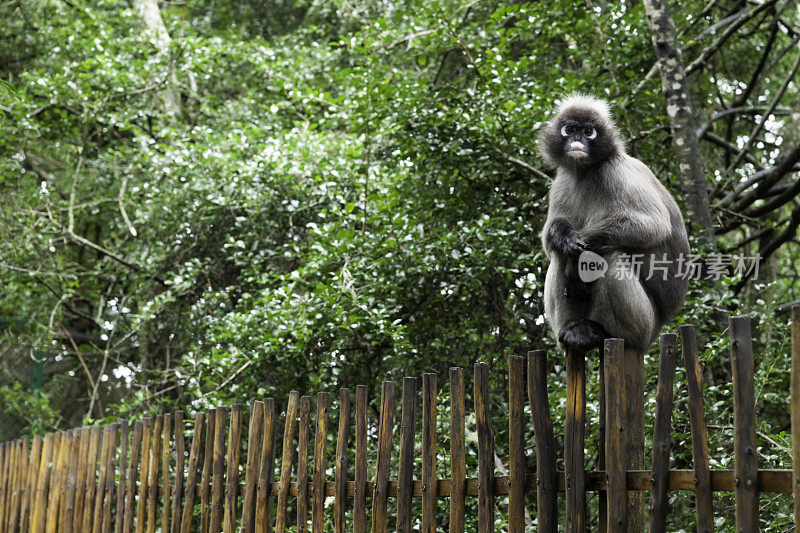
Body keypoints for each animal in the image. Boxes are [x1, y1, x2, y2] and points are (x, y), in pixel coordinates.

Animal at [540, 94, 692, 354]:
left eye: (588, 131)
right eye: (569, 129)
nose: (577, 139)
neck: (586, 172)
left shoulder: (619, 171)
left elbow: (652, 225)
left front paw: (576, 264)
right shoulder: (562, 181)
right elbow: (549, 238)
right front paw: (563, 236)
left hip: (645, 325)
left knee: (609, 255)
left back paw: (604, 331)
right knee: (561, 255)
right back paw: (574, 329)